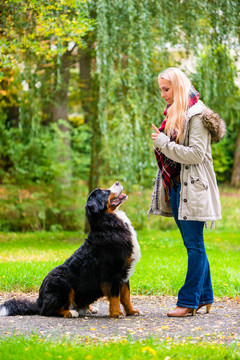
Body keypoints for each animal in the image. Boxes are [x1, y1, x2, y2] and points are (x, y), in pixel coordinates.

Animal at [0, 183, 141, 318]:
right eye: (105, 192)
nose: (117, 182)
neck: (108, 224)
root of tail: (39, 302)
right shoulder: (113, 274)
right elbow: (115, 297)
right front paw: (116, 314)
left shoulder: (124, 273)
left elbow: (126, 297)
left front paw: (131, 311)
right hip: (62, 283)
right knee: (47, 311)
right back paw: (70, 313)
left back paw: (89, 309)